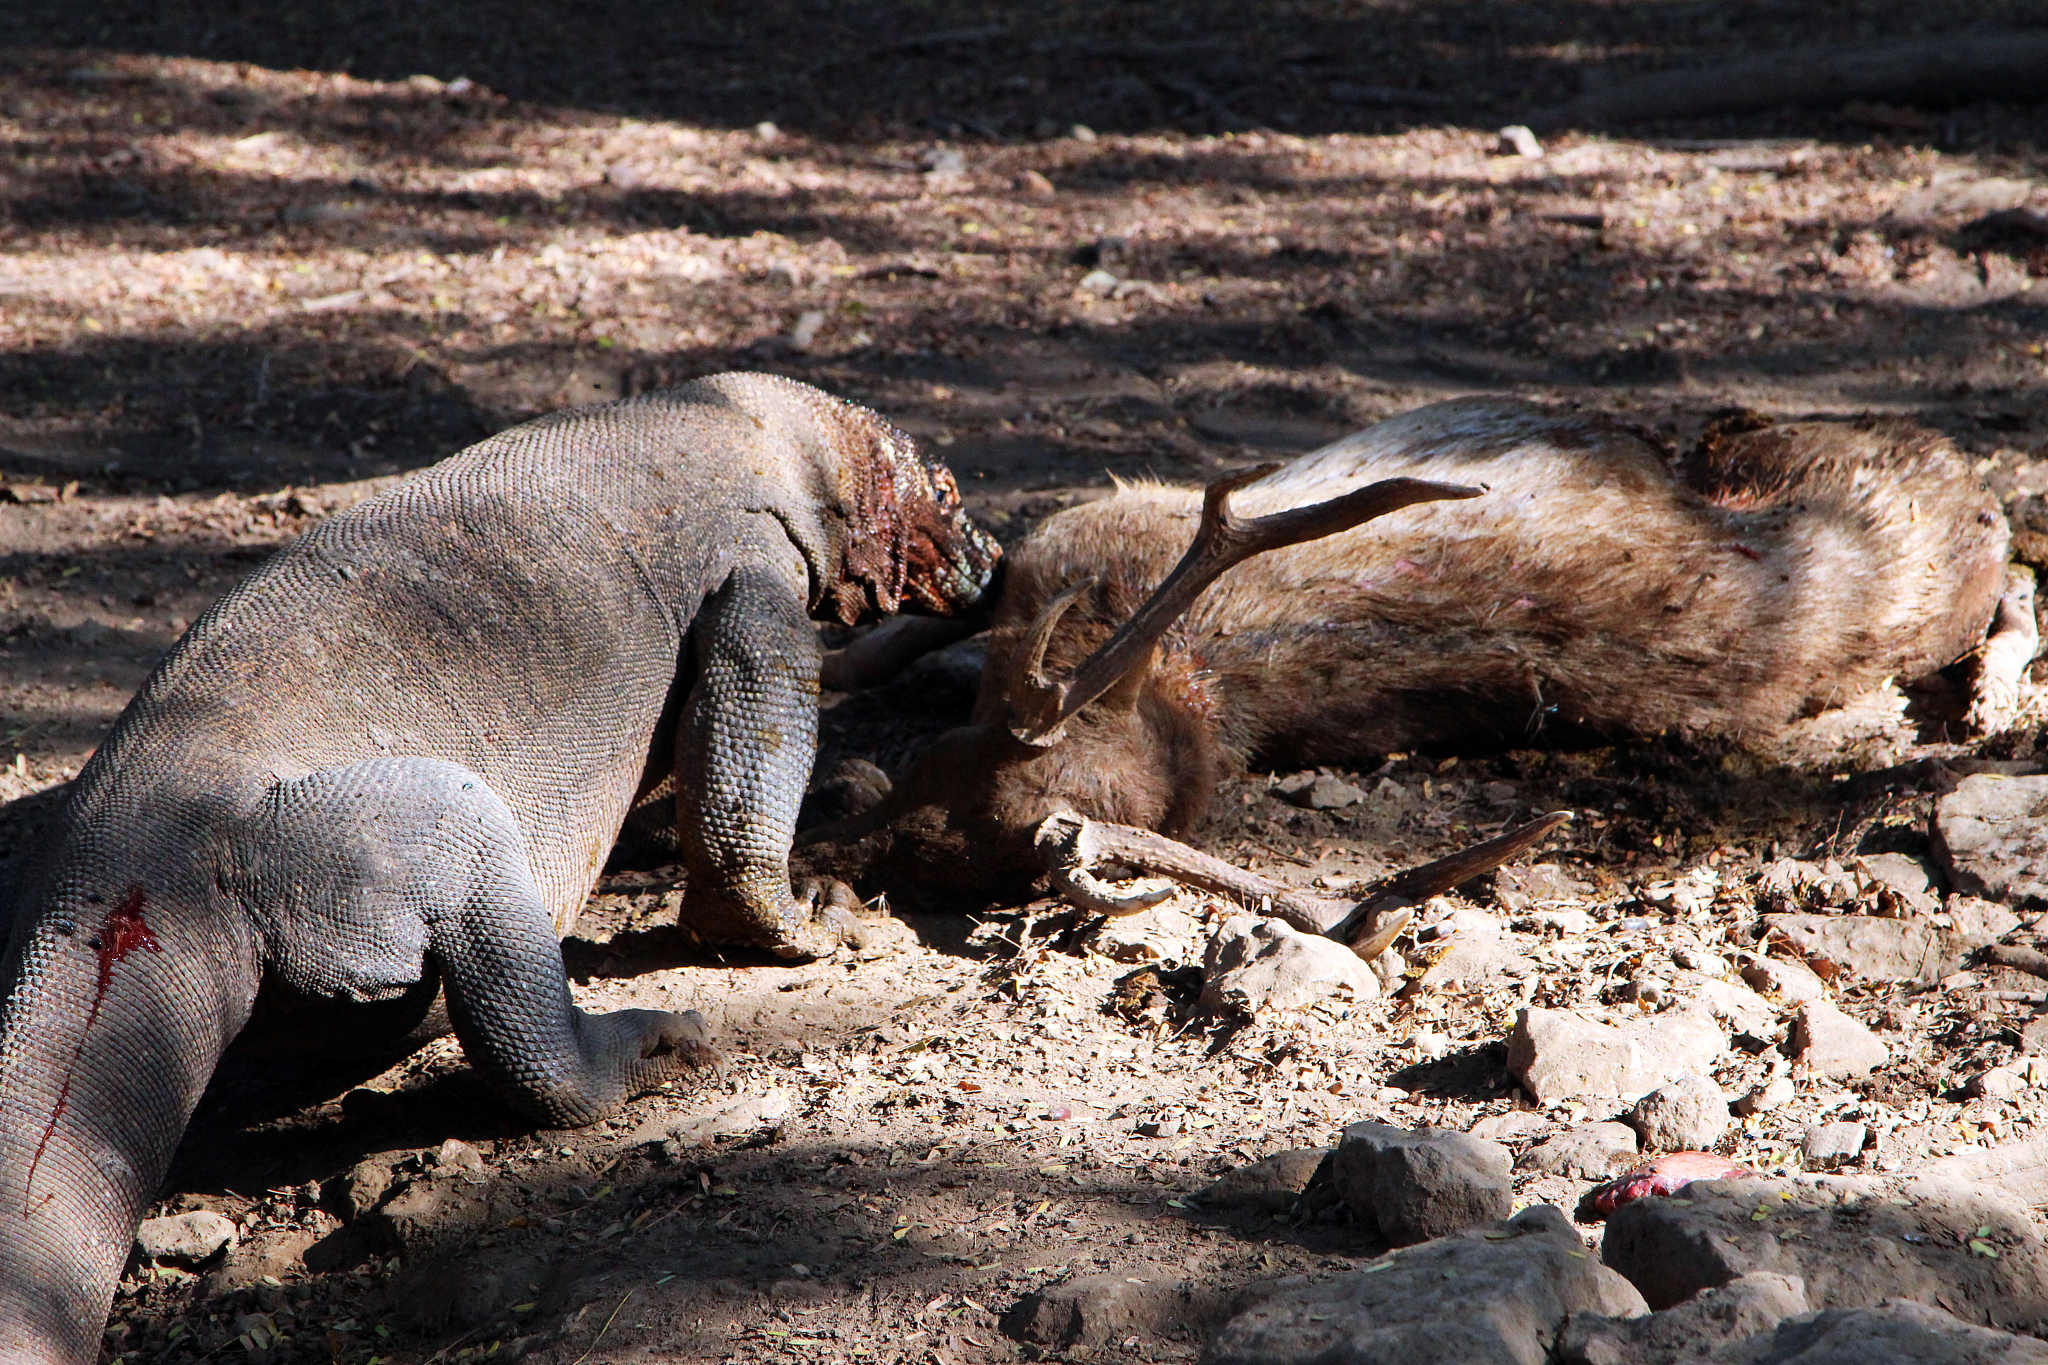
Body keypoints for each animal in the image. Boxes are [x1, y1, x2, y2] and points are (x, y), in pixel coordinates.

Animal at [801, 396, 2021, 956]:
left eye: (951, 840)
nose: (829, 860)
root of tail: (1970, 488)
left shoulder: (1084, 528)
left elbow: (939, 610)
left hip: (1786, 458)